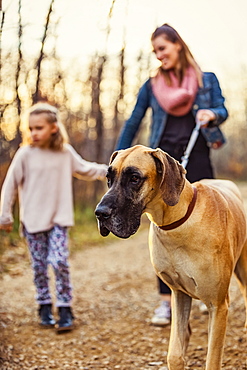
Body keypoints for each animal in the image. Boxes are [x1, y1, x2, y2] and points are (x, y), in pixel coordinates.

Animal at [95, 145, 247, 370]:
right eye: (109, 178)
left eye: (134, 178)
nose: (100, 213)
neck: (177, 222)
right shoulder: (179, 293)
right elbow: (174, 354)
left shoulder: (218, 305)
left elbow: (212, 359)